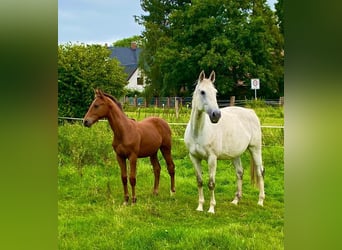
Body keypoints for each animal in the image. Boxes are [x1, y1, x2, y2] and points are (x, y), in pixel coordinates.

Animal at [184, 70, 264, 213]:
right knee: (239, 173)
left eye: (215, 92)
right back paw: (236, 200)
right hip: (236, 154)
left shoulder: (212, 158)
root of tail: (251, 112)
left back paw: (260, 201)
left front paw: (211, 208)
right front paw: (200, 206)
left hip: (255, 149)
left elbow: (211, 183)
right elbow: (199, 181)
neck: (198, 132)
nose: (216, 115)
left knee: (260, 172)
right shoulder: (194, 157)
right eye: (202, 92)